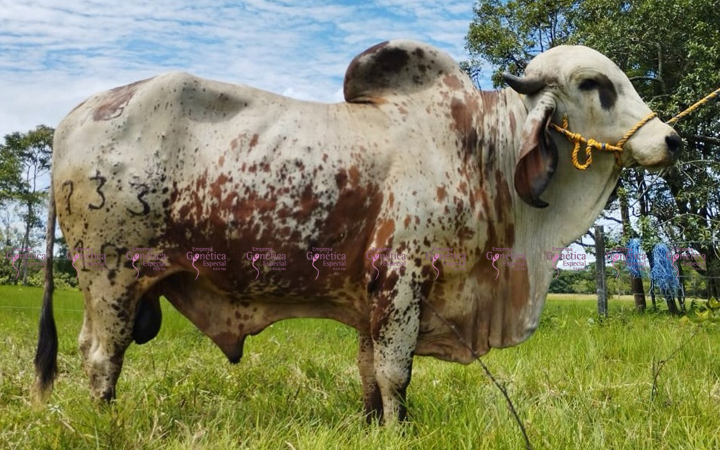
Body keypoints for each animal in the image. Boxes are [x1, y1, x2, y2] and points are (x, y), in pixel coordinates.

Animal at [35, 39, 680, 422]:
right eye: (597, 85)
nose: (670, 138)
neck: (480, 151)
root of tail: (72, 118)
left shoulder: (374, 293)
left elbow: (371, 368)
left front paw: (373, 424)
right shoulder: (401, 276)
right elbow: (396, 370)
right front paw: (397, 428)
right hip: (111, 276)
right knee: (102, 355)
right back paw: (105, 421)